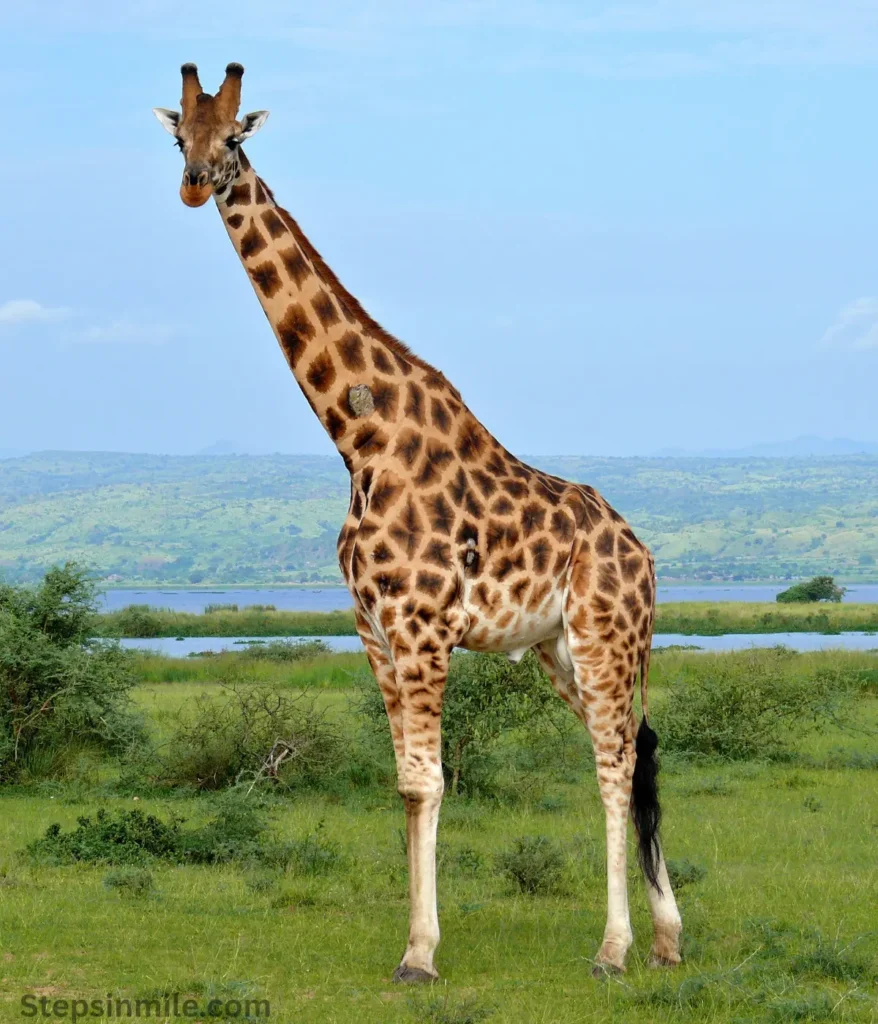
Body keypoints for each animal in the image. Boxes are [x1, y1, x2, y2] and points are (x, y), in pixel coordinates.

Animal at [153, 63, 682, 981]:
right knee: (624, 750)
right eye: (177, 134)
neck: (357, 437)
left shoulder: (423, 623)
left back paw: (613, 949)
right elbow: (404, 782)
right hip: (561, 649)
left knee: (615, 764)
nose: (194, 183)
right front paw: (416, 940)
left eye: (234, 138)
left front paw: (421, 955)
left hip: (606, 636)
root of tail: (644, 555)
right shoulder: (372, 627)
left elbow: (430, 782)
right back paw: (665, 938)